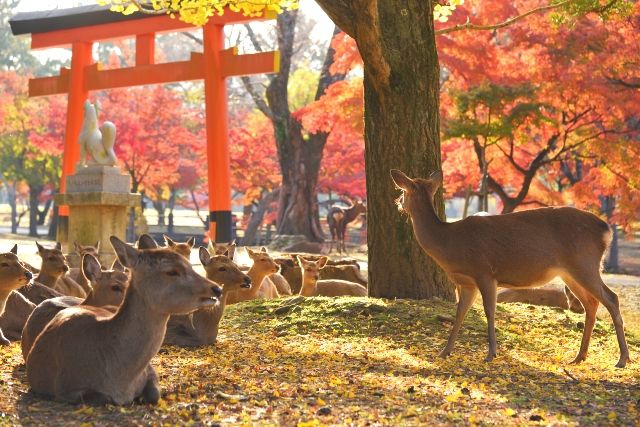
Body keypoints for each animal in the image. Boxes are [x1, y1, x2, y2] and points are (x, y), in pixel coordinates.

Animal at [26, 236, 224, 406]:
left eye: (190, 264)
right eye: (172, 271)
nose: (217, 289)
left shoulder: (149, 371)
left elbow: (155, 394)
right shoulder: (65, 386)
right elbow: (103, 398)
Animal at [390, 169, 632, 370]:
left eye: (403, 192)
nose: (397, 202)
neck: (449, 244)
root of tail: (606, 230)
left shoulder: (485, 272)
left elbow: (489, 311)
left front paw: (491, 354)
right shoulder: (466, 283)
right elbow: (460, 313)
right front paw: (445, 351)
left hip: (584, 263)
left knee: (611, 298)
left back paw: (622, 359)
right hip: (570, 272)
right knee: (591, 303)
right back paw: (579, 356)